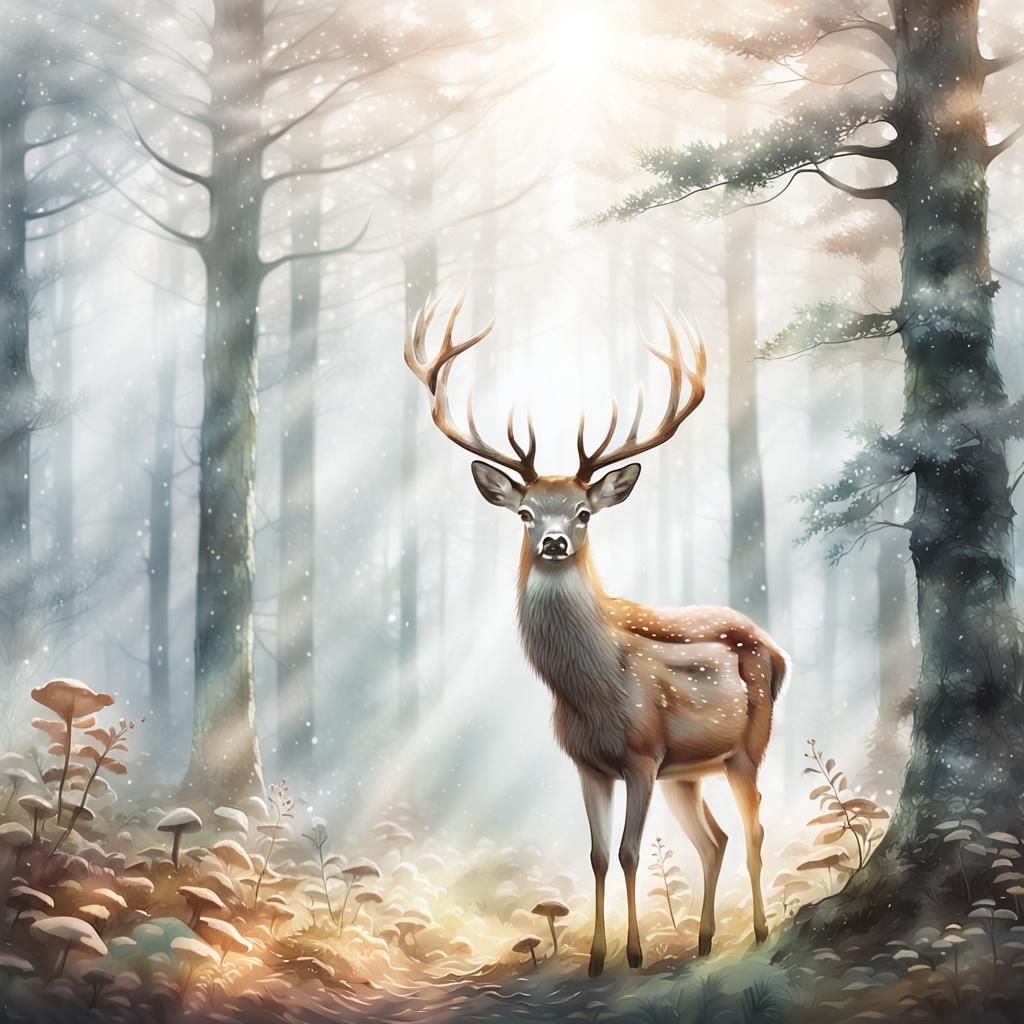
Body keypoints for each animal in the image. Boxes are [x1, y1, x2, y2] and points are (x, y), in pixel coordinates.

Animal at [405, 290, 788, 977]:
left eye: (584, 512)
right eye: (525, 513)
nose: (555, 540)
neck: (591, 690)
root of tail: (778, 651)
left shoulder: (642, 755)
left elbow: (632, 852)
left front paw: (632, 954)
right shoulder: (586, 763)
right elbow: (597, 855)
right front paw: (596, 957)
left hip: (747, 747)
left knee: (753, 830)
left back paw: (761, 931)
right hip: (687, 773)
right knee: (713, 840)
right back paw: (704, 939)